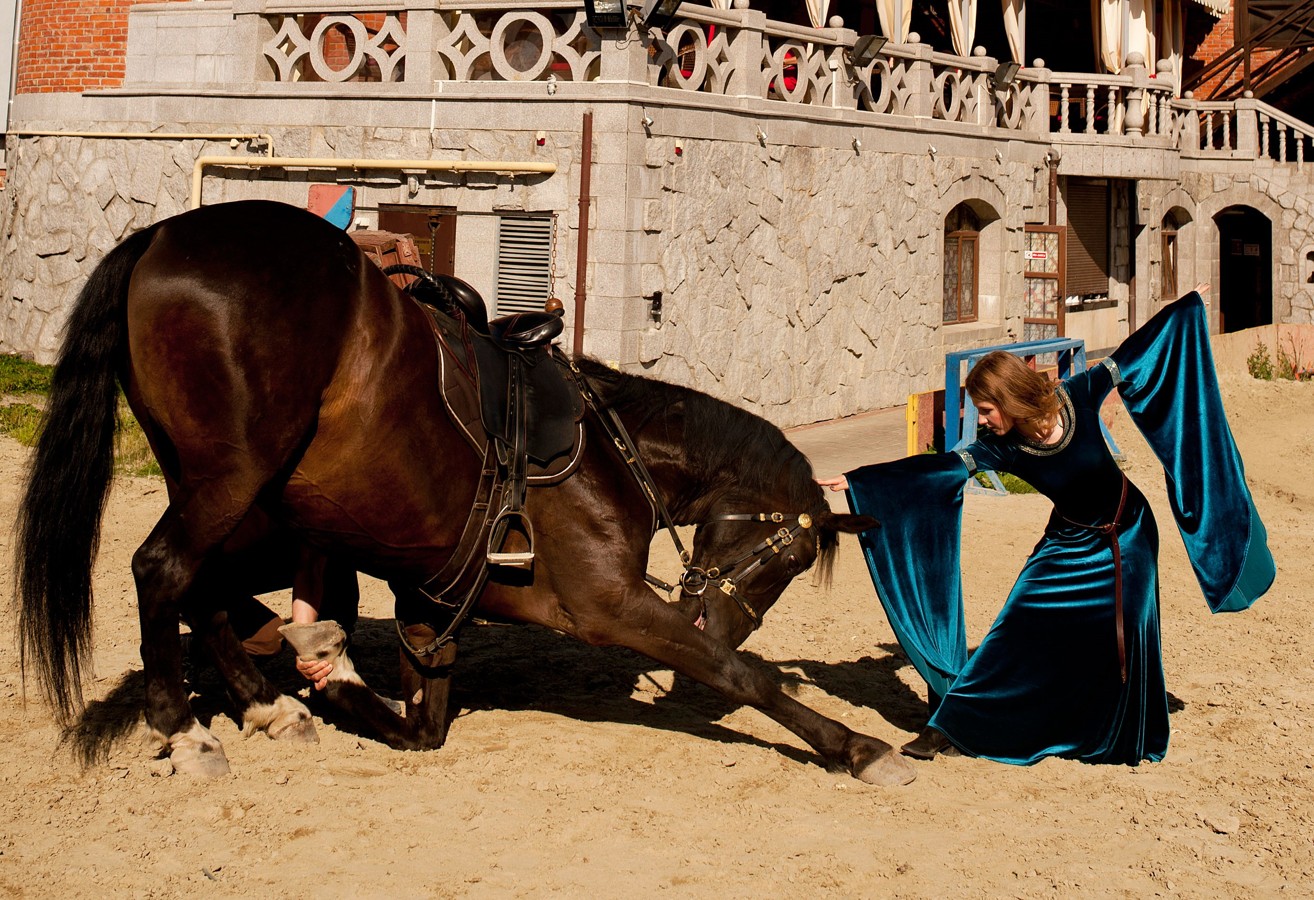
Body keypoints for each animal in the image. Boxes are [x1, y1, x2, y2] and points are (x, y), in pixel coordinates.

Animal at [15, 197, 914, 777]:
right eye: (790, 561)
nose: (720, 617)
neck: (617, 450)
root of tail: (162, 233)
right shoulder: (613, 608)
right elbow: (747, 677)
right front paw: (856, 747)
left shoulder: (429, 615)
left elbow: (419, 730)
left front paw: (328, 672)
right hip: (230, 482)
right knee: (163, 572)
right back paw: (187, 729)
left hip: (227, 498)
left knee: (201, 588)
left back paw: (272, 700)